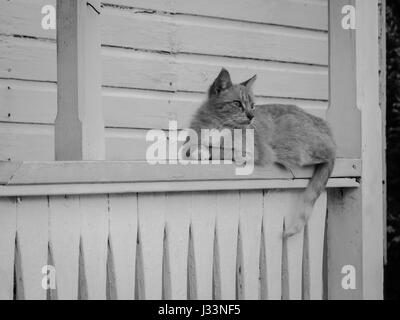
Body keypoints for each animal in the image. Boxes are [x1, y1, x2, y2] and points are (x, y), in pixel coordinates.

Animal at [189, 68, 336, 238]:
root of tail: (323, 123)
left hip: (295, 150)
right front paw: (198, 149)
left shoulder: (253, 151)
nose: (251, 116)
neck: (219, 125)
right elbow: (194, 145)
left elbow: (225, 150)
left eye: (252, 106)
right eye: (237, 103)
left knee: (330, 154)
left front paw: (208, 151)